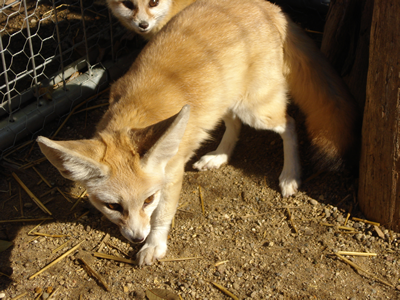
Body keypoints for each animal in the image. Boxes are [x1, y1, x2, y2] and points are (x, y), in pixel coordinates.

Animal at [37, 0, 358, 264]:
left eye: (148, 200)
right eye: (113, 205)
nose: (137, 237)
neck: (134, 111)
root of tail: (268, 6)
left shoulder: (172, 174)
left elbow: (162, 216)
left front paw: (154, 245)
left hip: (255, 109)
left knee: (289, 124)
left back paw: (290, 174)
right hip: (221, 101)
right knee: (235, 125)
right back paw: (219, 156)